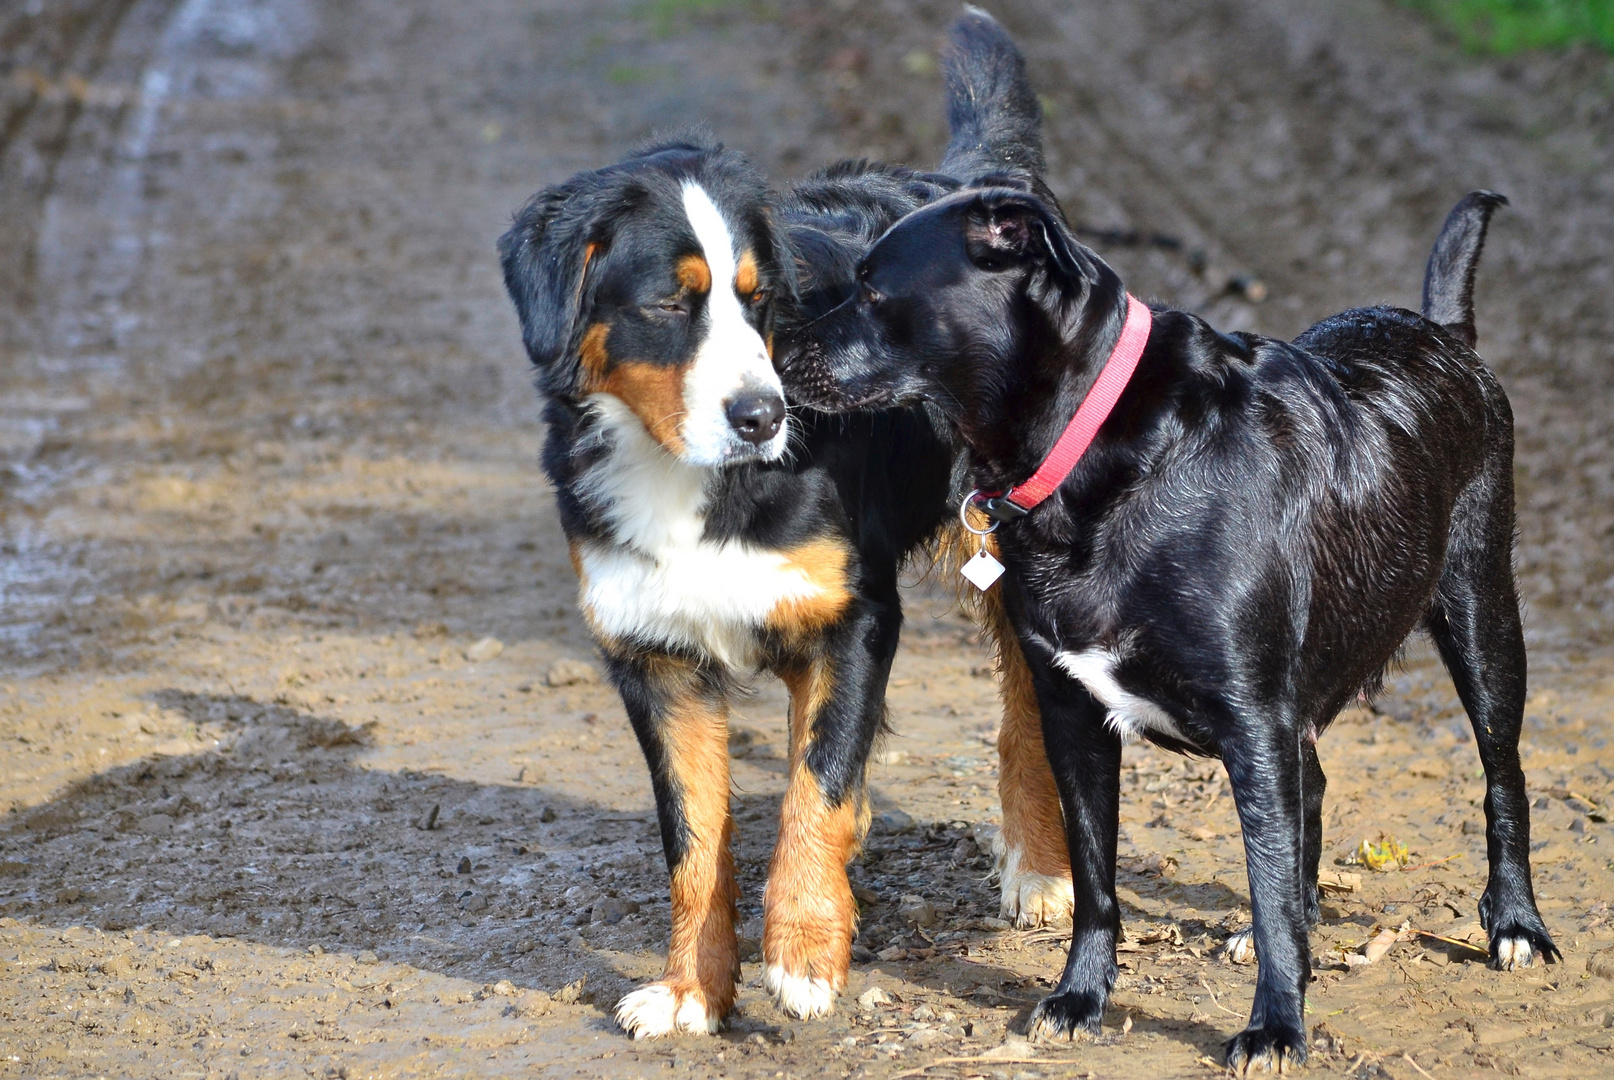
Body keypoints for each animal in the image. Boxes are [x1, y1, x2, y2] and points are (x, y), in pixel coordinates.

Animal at [490, 8, 1071, 1033]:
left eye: (759, 300)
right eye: (670, 302)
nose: (763, 416)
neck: (687, 479)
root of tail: (959, 187)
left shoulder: (854, 619)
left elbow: (814, 789)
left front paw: (802, 950)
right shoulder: (653, 657)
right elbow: (696, 839)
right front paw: (692, 989)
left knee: (1021, 715)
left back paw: (1038, 870)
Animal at [774, 187, 1555, 1071]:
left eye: (873, 288)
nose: (771, 347)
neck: (1101, 451)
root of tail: (1444, 333)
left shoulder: (1254, 720)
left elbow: (1267, 881)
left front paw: (1276, 1026)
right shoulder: (1075, 716)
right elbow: (1095, 880)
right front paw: (1081, 995)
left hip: (1482, 621)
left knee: (1503, 777)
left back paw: (1516, 923)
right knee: (1316, 789)